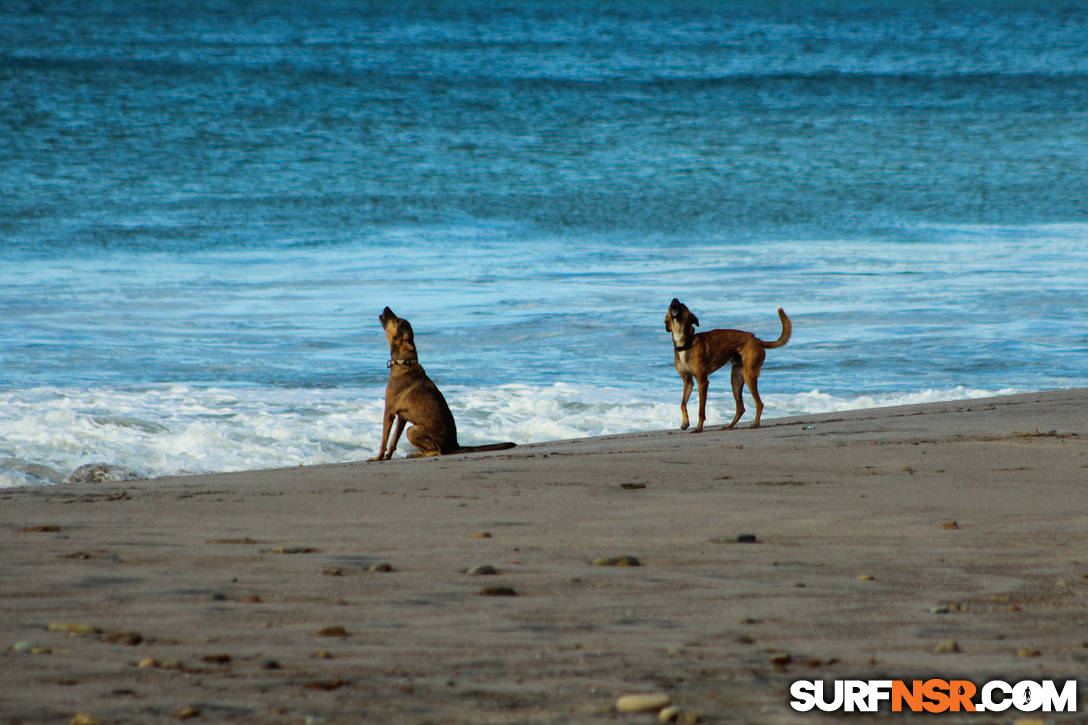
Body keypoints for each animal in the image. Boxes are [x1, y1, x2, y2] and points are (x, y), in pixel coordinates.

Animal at [369, 304, 513, 457]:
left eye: (397, 321)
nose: (386, 307)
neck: (404, 363)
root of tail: (455, 445)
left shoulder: (389, 412)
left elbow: (384, 440)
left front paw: (377, 458)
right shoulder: (402, 418)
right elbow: (393, 442)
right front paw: (387, 457)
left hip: (413, 430)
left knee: (437, 452)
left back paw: (417, 454)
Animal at [661, 298, 792, 428]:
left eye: (682, 305)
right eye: (670, 305)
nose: (674, 299)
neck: (685, 343)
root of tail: (756, 339)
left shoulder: (702, 381)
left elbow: (701, 410)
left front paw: (698, 428)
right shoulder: (687, 381)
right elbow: (682, 404)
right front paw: (685, 422)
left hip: (748, 375)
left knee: (759, 403)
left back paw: (755, 423)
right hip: (736, 379)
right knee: (741, 408)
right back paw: (729, 426)